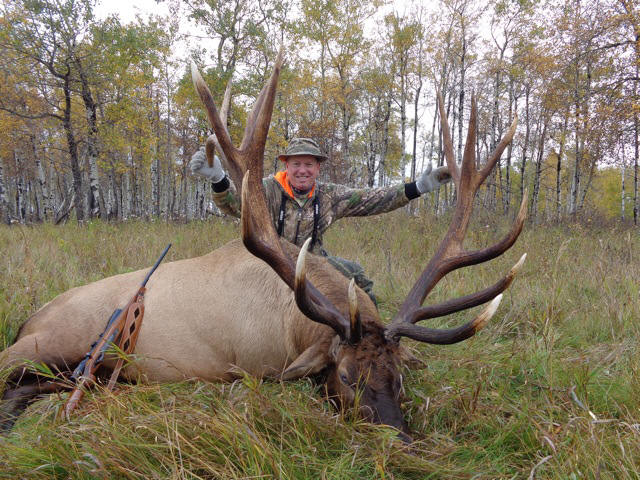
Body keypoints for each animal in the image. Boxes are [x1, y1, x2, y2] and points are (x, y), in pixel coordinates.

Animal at [0, 49, 526, 441]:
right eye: (346, 377)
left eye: (398, 377)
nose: (400, 440)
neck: (295, 325)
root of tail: (30, 317)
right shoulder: (253, 369)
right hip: (47, 344)